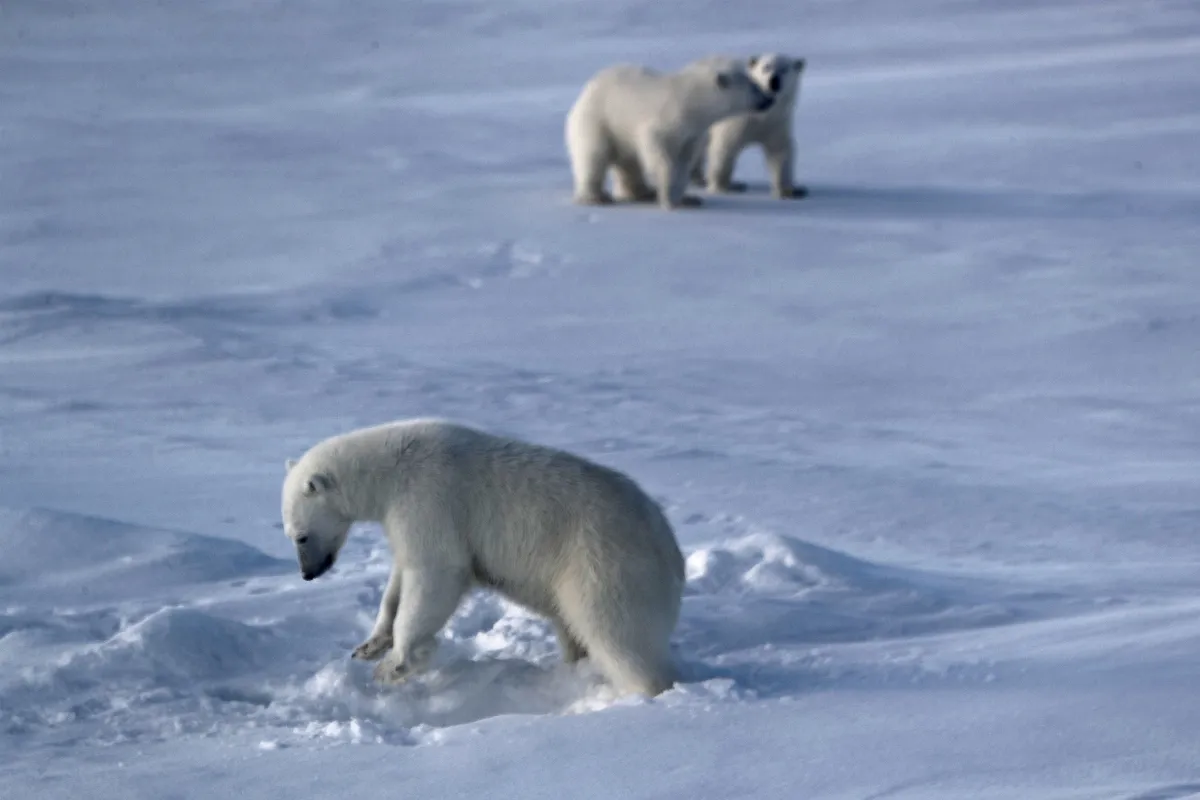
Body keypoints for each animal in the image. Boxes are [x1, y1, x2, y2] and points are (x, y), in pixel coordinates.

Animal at [281, 417, 687, 698]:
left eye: (301, 536)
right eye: (290, 536)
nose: (307, 574)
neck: (393, 466)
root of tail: (670, 548)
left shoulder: (428, 499)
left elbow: (436, 574)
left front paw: (394, 665)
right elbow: (401, 577)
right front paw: (370, 645)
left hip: (602, 561)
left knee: (616, 633)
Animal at [564, 58, 775, 210]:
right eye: (754, 86)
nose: (769, 99)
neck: (689, 103)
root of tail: (586, 90)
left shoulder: (692, 133)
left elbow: (684, 161)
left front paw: (688, 199)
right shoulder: (663, 123)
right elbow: (661, 157)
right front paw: (670, 198)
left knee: (629, 163)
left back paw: (643, 193)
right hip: (599, 120)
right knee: (594, 155)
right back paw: (595, 197)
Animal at [691, 53, 807, 199]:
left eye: (785, 69)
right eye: (766, 67)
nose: (774, 80)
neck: (761, 115)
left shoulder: (777, 123)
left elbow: (780, 152)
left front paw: (788, 191)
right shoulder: (737, 121)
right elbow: (724, 148)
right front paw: (722, 187)